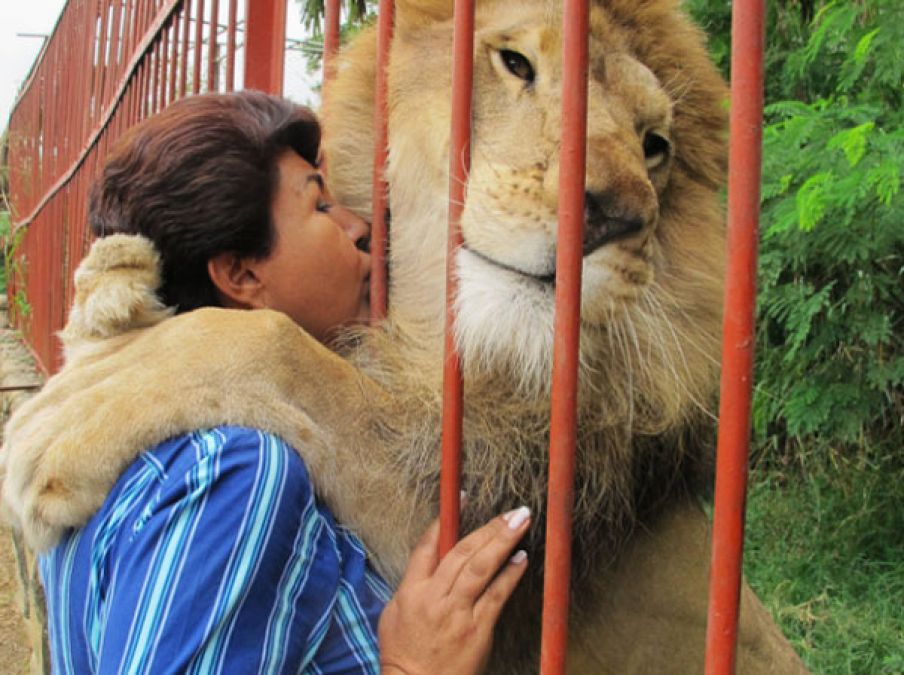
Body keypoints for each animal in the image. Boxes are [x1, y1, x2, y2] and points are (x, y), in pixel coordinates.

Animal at [0, 0, 804, 672]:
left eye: (655, 144)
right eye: (516, 63)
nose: (616, 215)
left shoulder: (473, 510)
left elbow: (284, 351)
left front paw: (74, 404)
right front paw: (108, 285)